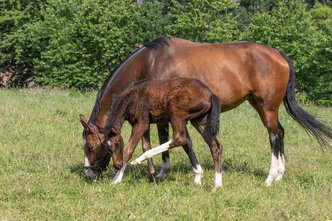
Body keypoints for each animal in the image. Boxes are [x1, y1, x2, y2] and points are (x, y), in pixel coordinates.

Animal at [94, 78, 222, 188]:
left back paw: (139, 159)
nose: (117, 165)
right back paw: (217, 185)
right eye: (107, 148)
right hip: (199, 121)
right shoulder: (144, 124)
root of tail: (211, 94)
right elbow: (145, 146)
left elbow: (128, 151)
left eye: (118, 144)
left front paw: (116, 180)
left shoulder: (141, 123)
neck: (131, 98)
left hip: (176, 111)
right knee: (215, 146)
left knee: (180, 138)